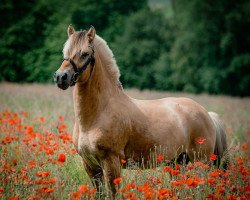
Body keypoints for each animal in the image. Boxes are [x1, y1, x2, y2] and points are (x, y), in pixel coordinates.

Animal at [54, 25, 229, 197]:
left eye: (85, 54)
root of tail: (207, 114)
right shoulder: (90, 166)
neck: (98, 114)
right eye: (65, 53)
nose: (61, 77)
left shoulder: (112, 163)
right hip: (177, 163)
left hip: (201, 162)